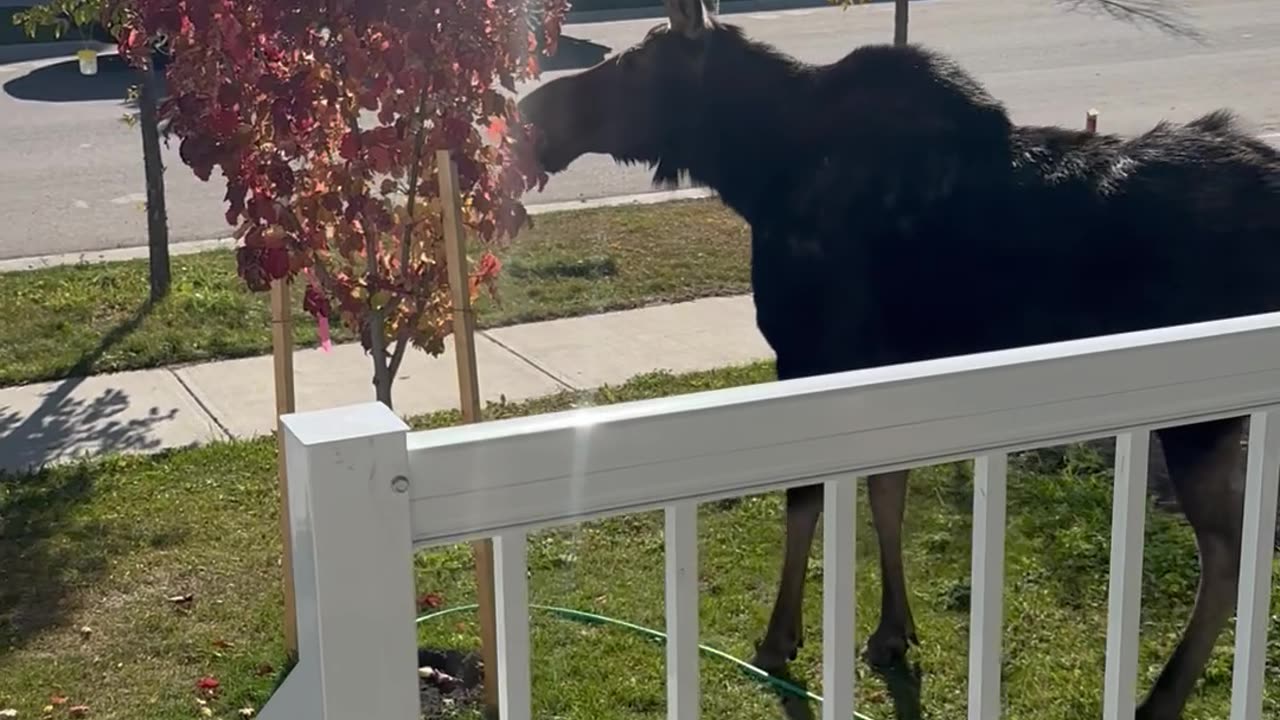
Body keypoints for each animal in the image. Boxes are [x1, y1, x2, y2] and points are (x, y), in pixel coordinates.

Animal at [514, 2, 1280, 712]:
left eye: (636, 64)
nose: (531, 110)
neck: (757, 173)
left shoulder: (811, 351)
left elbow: (807, 499)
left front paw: (781, 638)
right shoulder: (885, 364)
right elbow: (888, 492)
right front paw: (891, 631)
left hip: (1201, 415)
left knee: (1228, 551)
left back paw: (1163, 695)